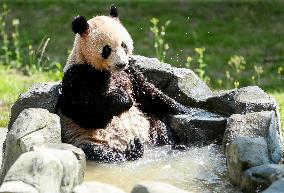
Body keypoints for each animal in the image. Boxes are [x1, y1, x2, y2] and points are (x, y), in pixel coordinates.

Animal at [57, 5, 191, 163]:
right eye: (107, 49)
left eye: (124, 45)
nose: (121, 64)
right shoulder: (79, 75)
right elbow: (84, 111)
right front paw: (124, 98)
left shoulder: (130, 71)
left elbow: (147, 92)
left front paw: (186, 110)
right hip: (85, 138)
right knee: (98, 151)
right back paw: (132, 151)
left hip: (147, 123)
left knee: (161, 128)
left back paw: (172, 146)